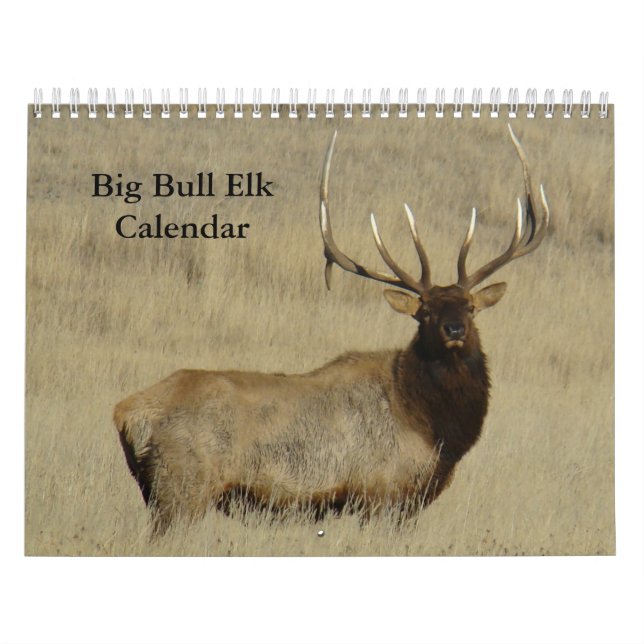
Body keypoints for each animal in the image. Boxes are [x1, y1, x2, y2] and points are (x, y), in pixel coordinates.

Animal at [114, 124, 549, 534]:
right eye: (424, 312)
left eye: (471, 307)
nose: (455, 329)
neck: (431, 428)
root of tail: (127, 413)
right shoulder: (379, 492)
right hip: (182, 488)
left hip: (157, 491)